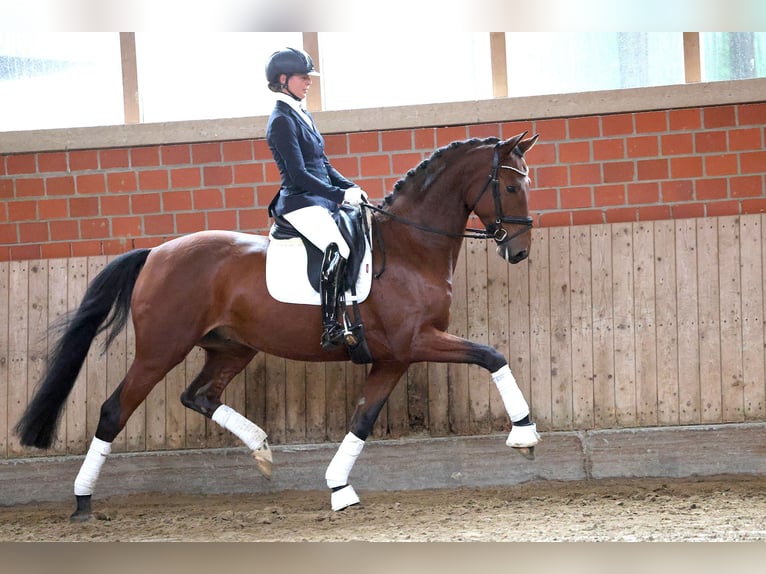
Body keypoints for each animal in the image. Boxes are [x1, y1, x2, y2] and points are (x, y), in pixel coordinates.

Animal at [15, 131, 540, 521]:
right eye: (512, 187)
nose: (519, 252)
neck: (410, 247)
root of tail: (156, 254)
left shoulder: (394, 357)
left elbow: (362, 420)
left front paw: (339, 488)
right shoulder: (417, 341)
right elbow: (492, 355)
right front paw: (524, 435)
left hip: (232, 347)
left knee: (199, 395)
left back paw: (262, 450)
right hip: (160, 350)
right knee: (113, 412)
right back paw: (82, 502)